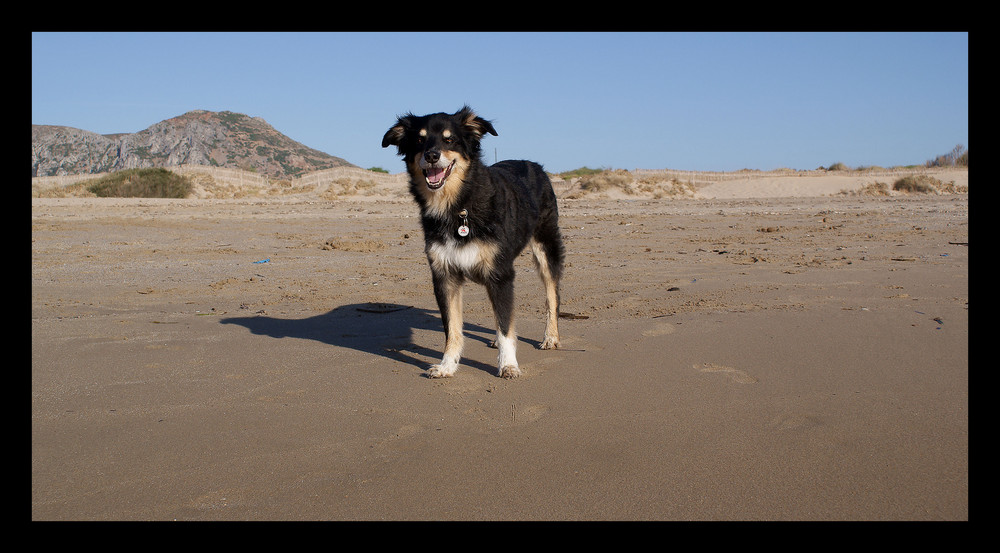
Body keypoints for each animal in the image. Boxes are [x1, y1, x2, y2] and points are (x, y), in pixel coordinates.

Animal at [380, 105, 564, 378]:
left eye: (449, 139)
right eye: (420, 140)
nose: (432, 156)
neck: (458, 205)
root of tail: (534, 165)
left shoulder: (500, 274)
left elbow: (506, 326)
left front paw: (508, 365)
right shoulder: (445, 276)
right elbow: (453, 330)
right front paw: (447, 365)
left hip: (545, 246)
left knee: (551, 296)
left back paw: (550, 337)